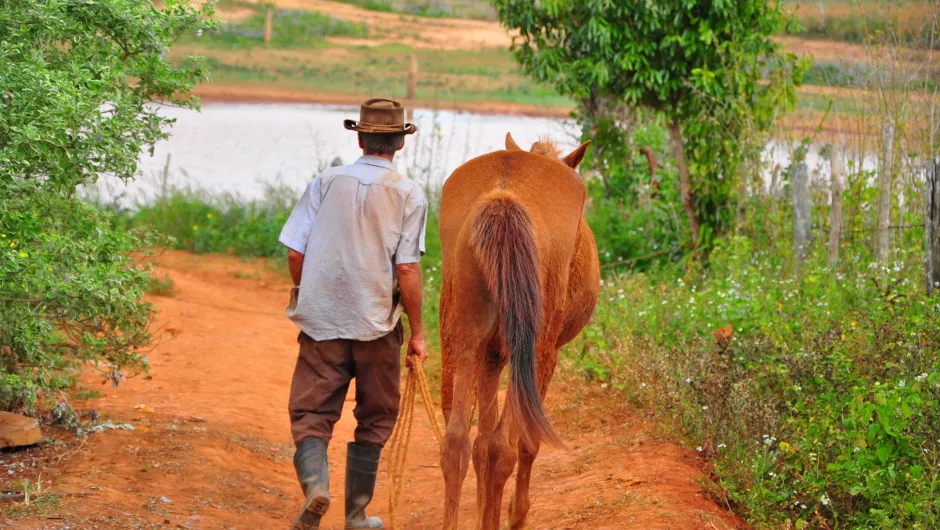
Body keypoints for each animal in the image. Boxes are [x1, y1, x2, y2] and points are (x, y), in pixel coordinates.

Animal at [436, 133, 600, 528]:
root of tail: (503, 197)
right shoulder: (548, 355)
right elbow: (526, 442)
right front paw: (514, 512)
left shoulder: (491, 355)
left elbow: (480, 444)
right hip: (534, 349)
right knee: (504, 448)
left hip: (463, 337)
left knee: (458, 443)